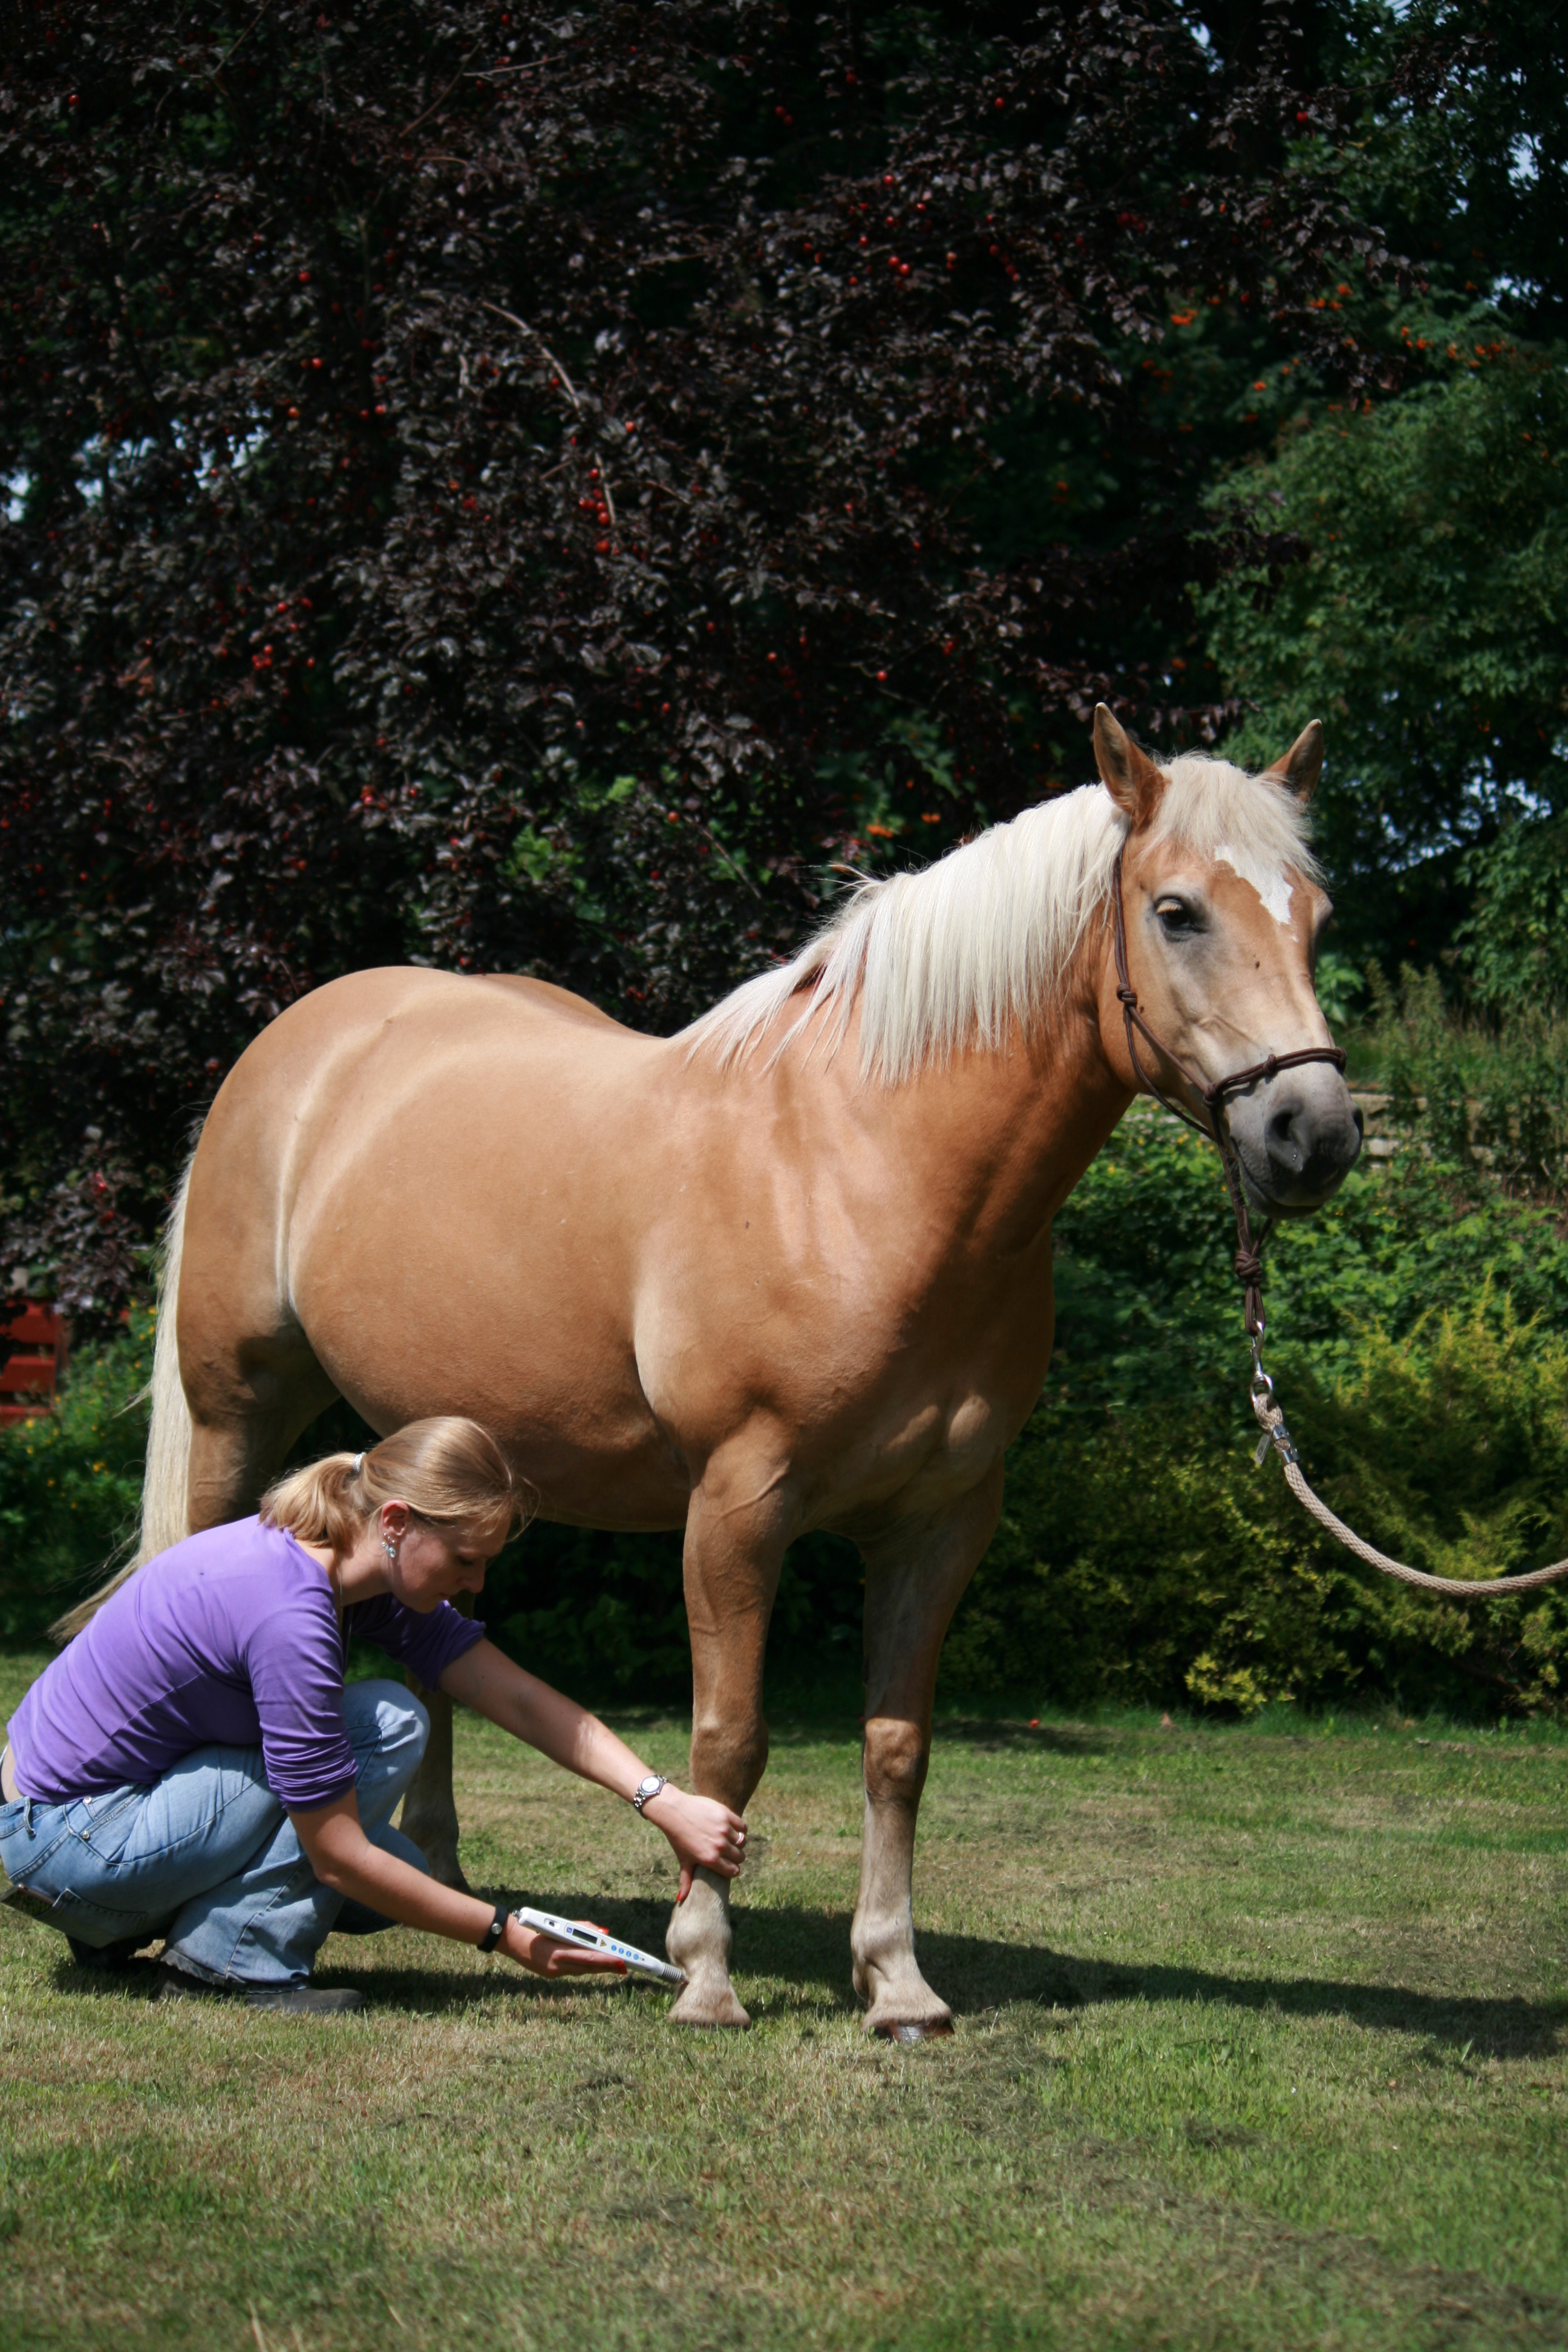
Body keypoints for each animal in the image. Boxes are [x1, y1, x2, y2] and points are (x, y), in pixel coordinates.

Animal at [82, 701, 1363, 2041]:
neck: (862, 1167)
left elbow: (896, 1746)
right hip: (238, 1410)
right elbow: (727, 1740)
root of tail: (305, 1041)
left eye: (1318, 916)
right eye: (1177, 911)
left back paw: (427, 1870)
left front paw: (896, 1980)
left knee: (438, 1645)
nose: (1314, 1134)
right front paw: (702, 1971)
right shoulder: (739, 1504)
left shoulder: (943, 1518)